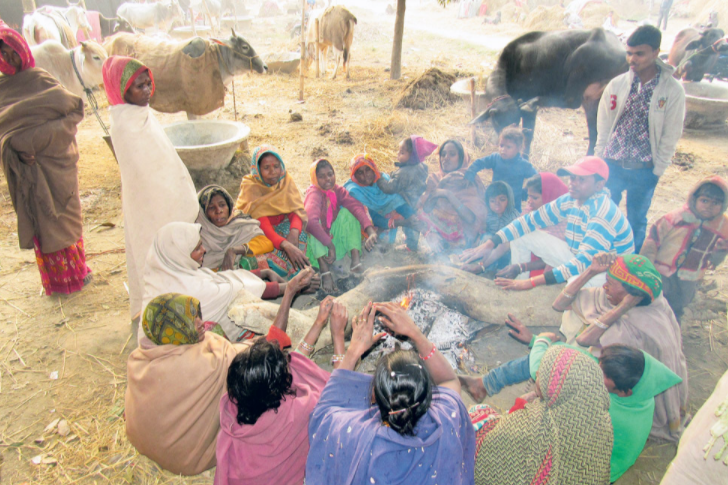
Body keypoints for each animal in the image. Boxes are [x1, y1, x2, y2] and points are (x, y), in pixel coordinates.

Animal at [472, 27, 624, 155]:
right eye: (497, 122)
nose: (504, 140)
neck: (513, 63)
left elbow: (528, 134)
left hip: (581, 62)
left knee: (571, 101)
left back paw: (533, 102)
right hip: (595, 101)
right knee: (595, 135)